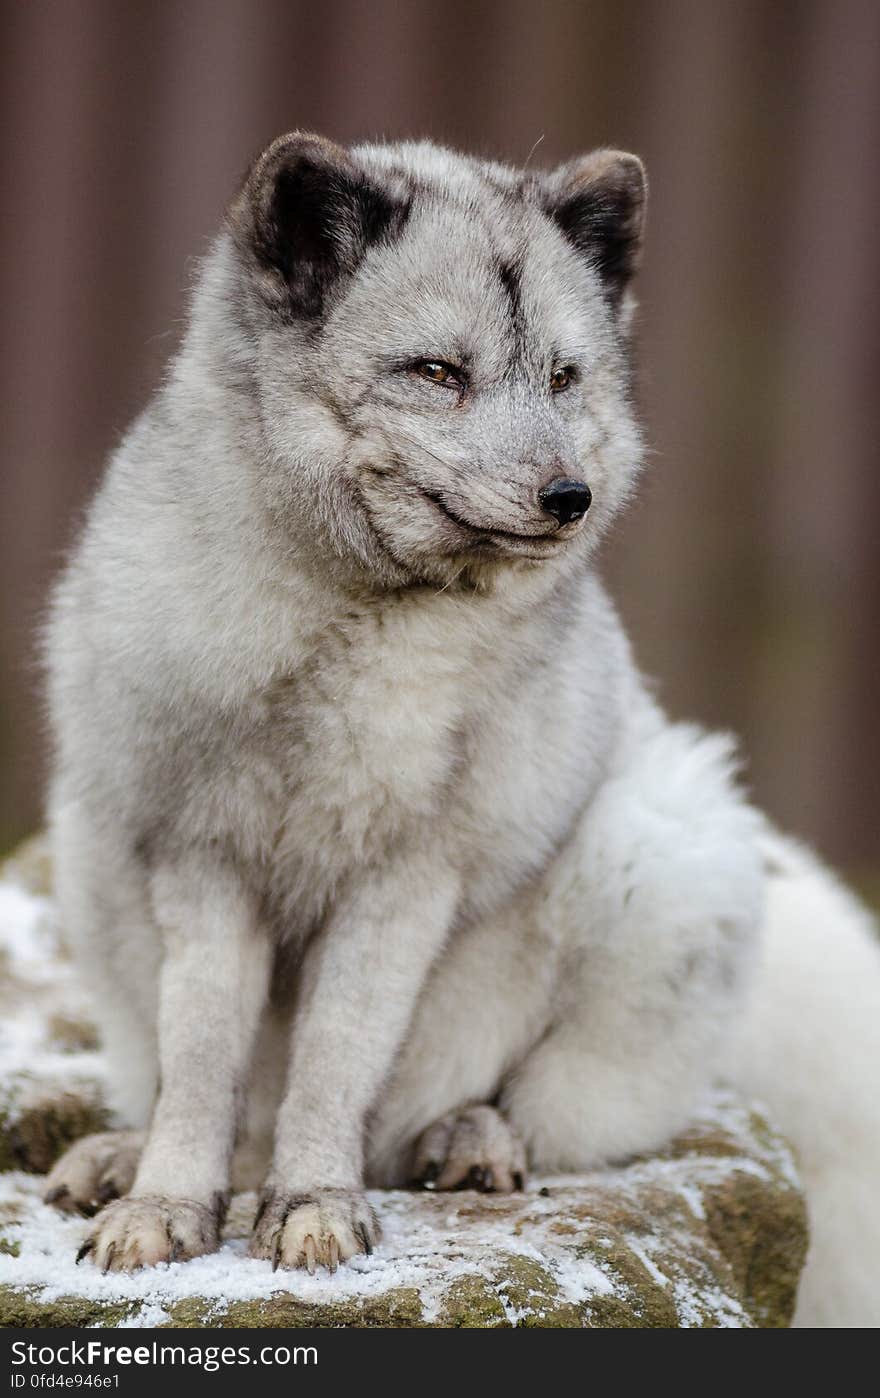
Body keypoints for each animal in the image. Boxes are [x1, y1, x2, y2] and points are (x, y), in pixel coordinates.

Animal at [44, 131, 873, 1319]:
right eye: (439, 373)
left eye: (565, 379)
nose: (569, 496)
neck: (346, 629)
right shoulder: (202, 855)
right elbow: (200, 1063)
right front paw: (165, 1206)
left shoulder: (407, 874)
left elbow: (337, 1056)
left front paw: (312, 1208)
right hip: (90, 847)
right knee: (201, 1094)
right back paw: (126, 1152)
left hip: (662, 848)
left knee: (536, 1115)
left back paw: (469, 1140)